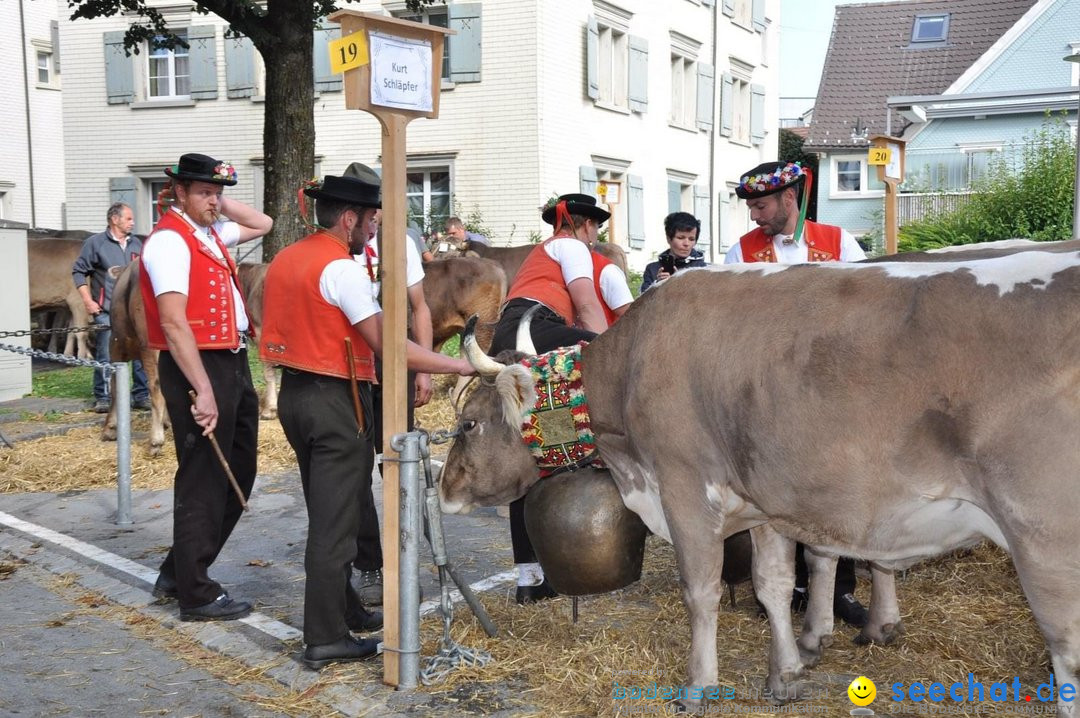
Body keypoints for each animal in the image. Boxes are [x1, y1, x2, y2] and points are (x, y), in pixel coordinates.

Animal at [436, 250, 1080, 712]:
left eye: (469, 423)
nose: (443, 492)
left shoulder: (684, 489)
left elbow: (700, 590)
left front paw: (699, 685)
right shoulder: (765, 503)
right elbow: (773, 584)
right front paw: (787, 673)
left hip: (1046, 540)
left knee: (1066, 651)